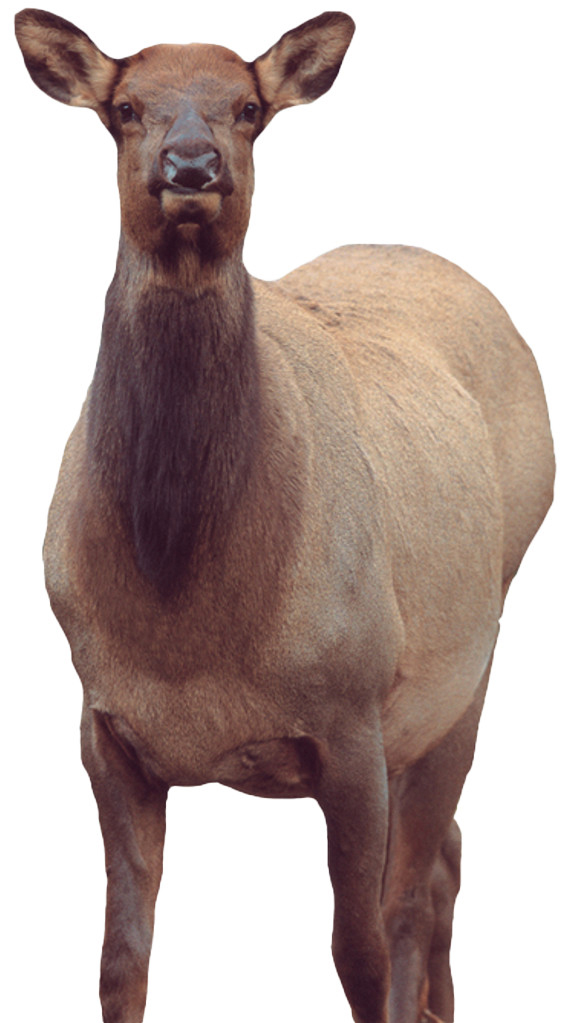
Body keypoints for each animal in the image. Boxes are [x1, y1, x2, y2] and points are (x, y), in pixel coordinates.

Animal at [15, 8, 554, 1023]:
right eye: (125, 107)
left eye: (250, 108)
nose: (192, 166)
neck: (187, 626)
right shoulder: (104, 727)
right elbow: (119, 961)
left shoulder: (352, 716)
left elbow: (359, 951)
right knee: (450, 855)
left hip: (464, 668)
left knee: (417, 888)